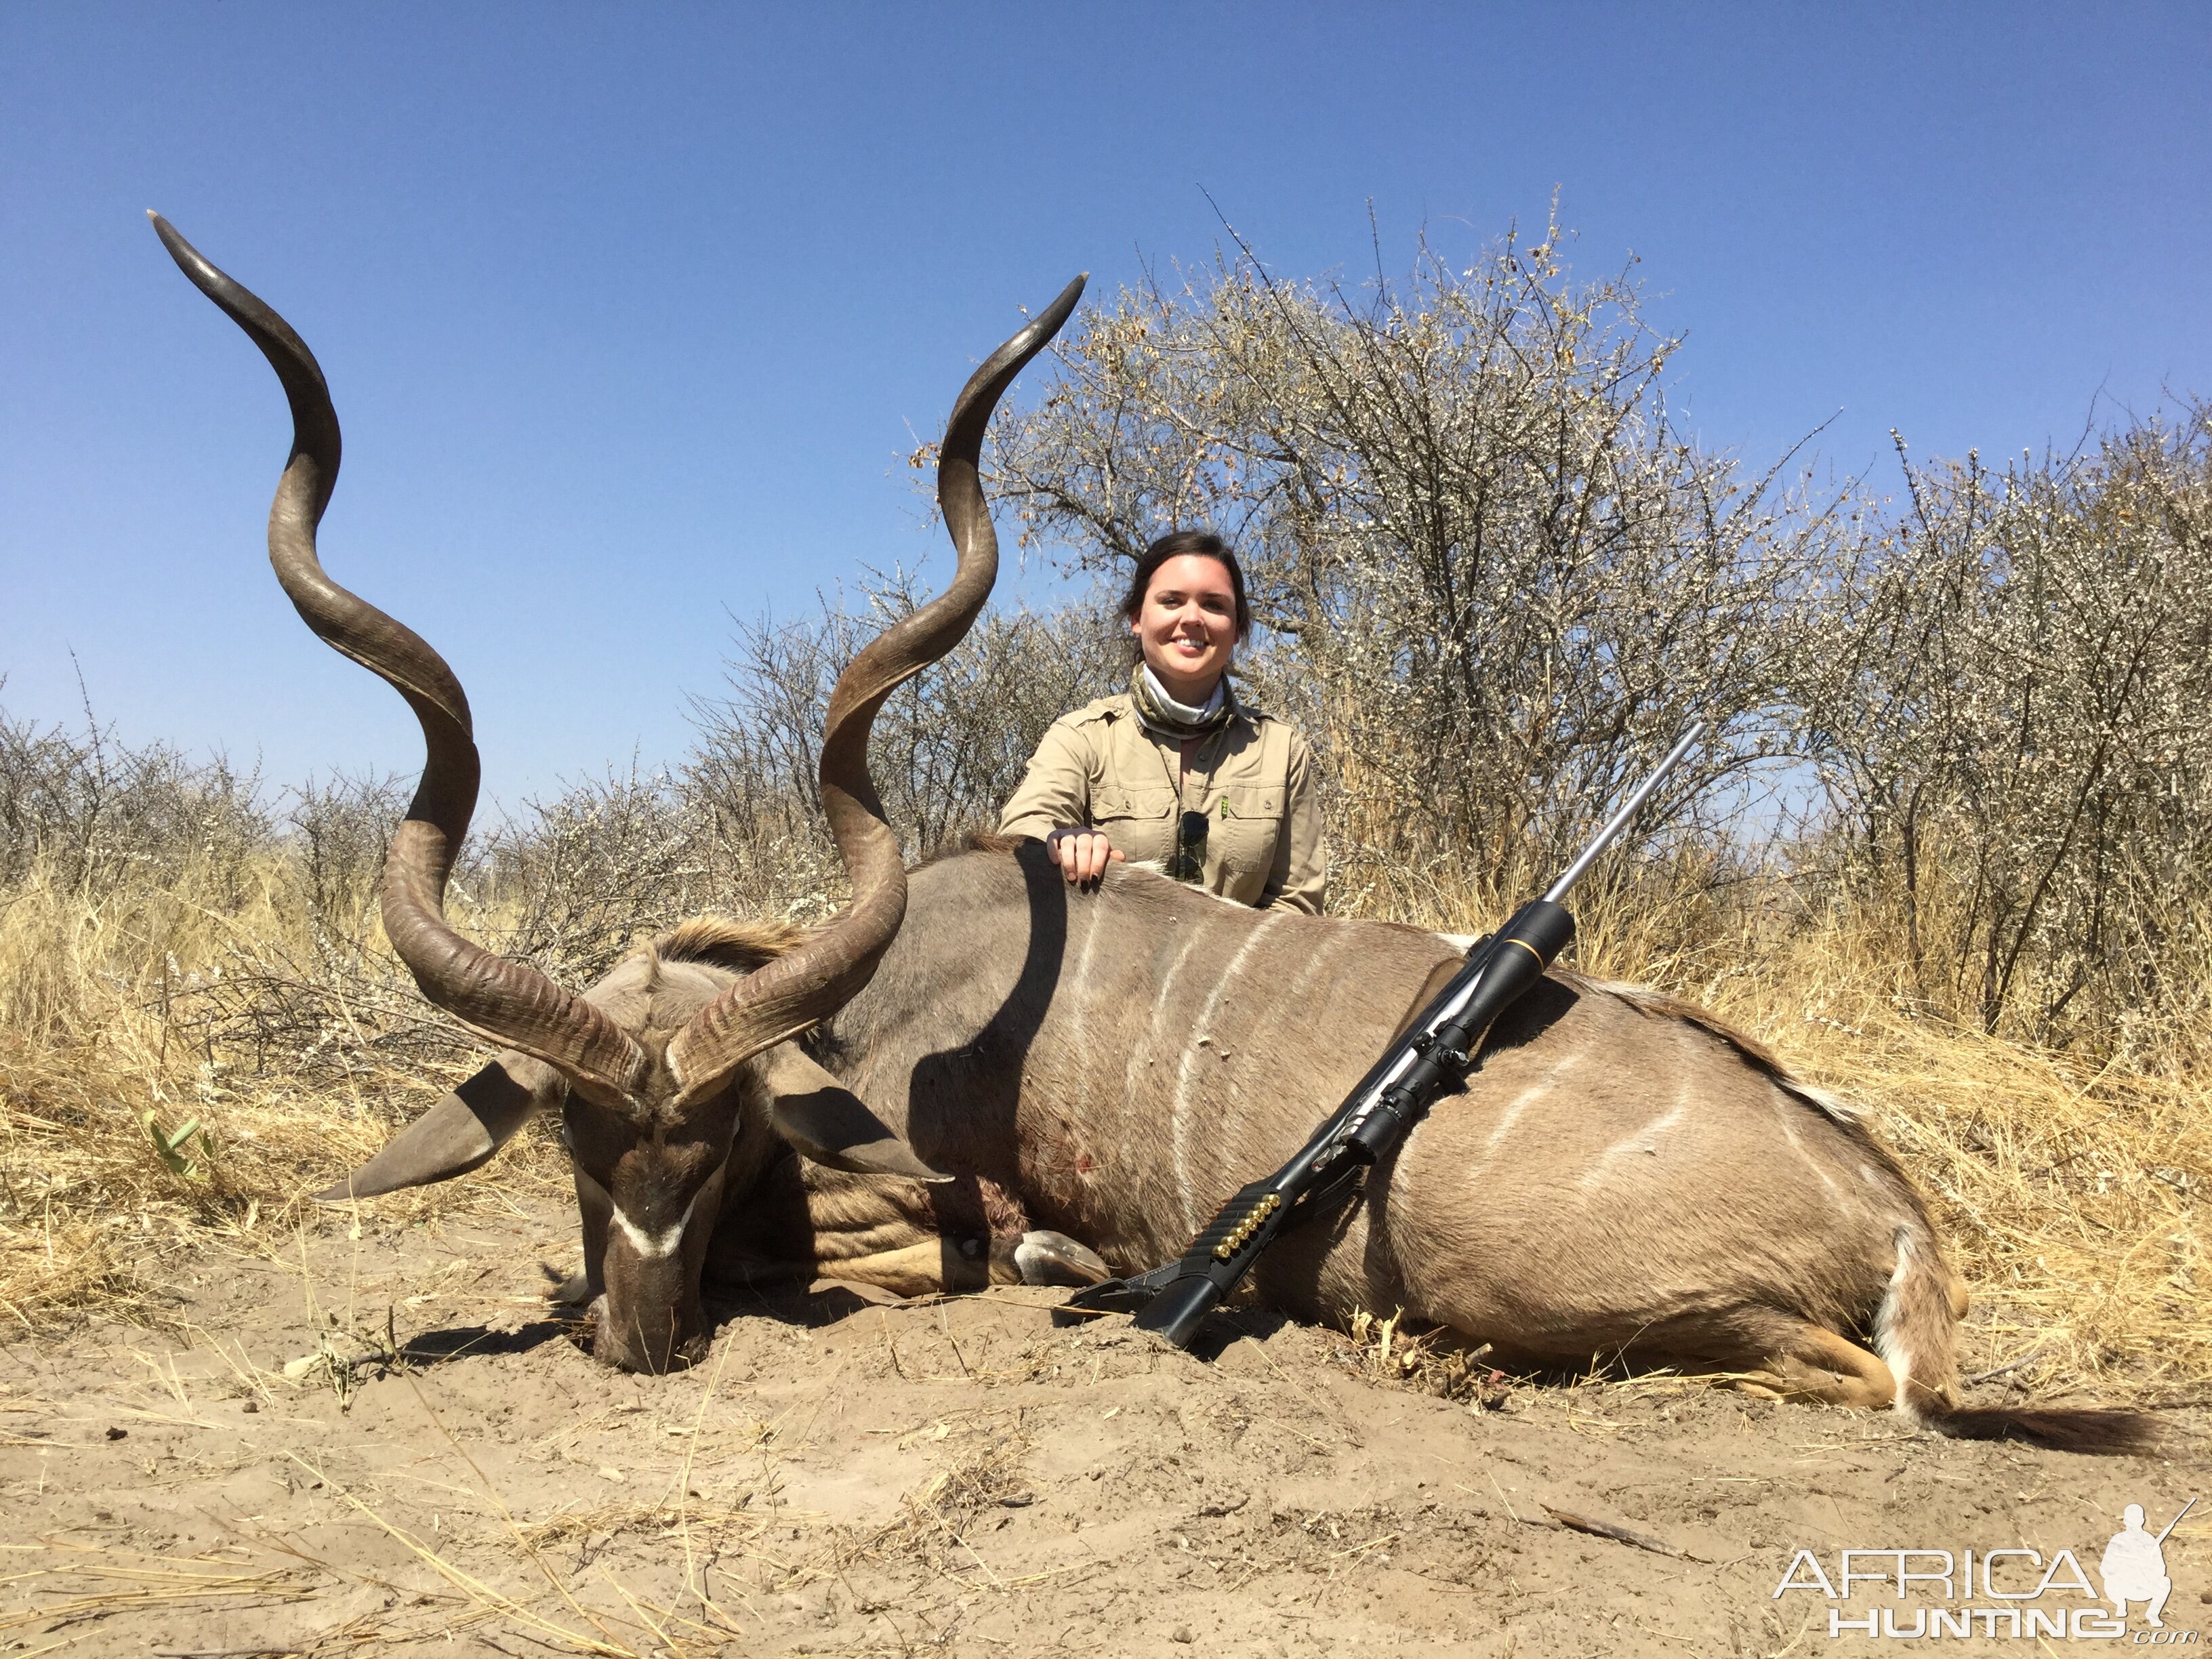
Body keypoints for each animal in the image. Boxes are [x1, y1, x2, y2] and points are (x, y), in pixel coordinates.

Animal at [160, 224, 2141, 1451]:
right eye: (578, 1130)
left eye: (722, 1138)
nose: (640, 1336)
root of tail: (1894, 1211)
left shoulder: (912, 1204)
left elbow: (934, 1255)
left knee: (1847, 1382)